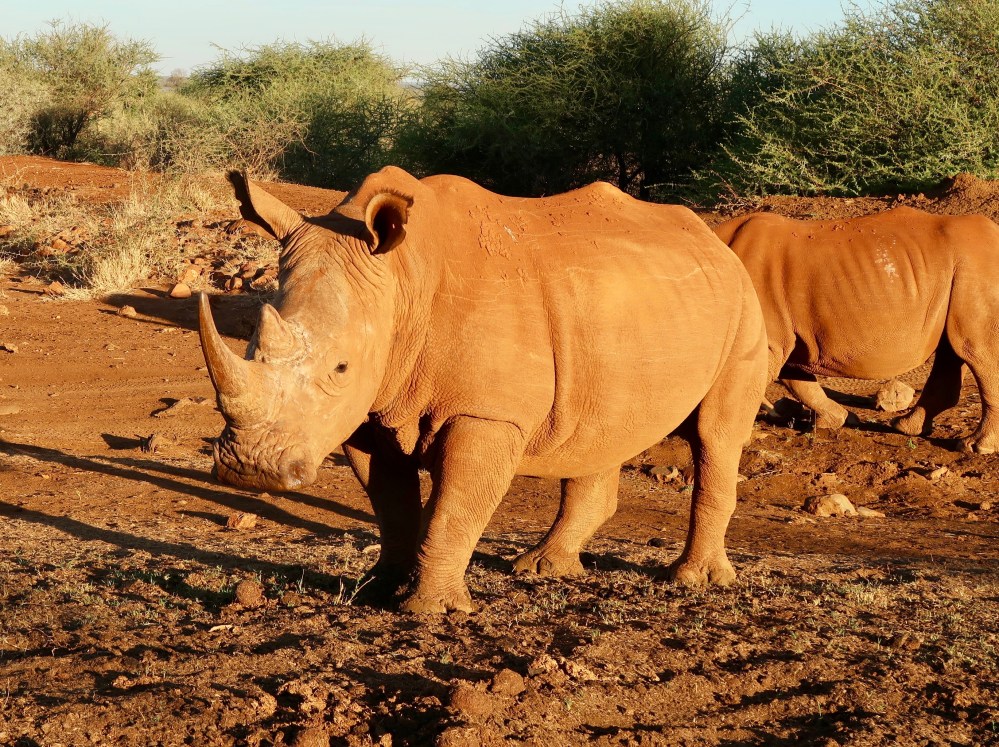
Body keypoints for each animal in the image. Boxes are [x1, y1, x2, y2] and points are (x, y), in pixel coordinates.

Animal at [199, 167, 767, 613]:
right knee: (601, 428)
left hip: (743, 303)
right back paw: (543, 569)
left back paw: (692, 580)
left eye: (340, 367)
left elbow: (455, 507)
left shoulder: (486, 414)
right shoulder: (368, 410)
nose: (251, 467)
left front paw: (430, 609)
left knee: (716, 436)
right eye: (250, 345)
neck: (401, 280)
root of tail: (716, 240)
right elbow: (391, 503)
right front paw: (378, 591)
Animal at [713, 206, 999, 452]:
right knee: (954, 351)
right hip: (959, 273)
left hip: (975, 269)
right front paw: (838, 419)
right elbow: (796, 378)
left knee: (976, 351)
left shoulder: (766, 337)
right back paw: (907, 428)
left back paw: (975, 447)